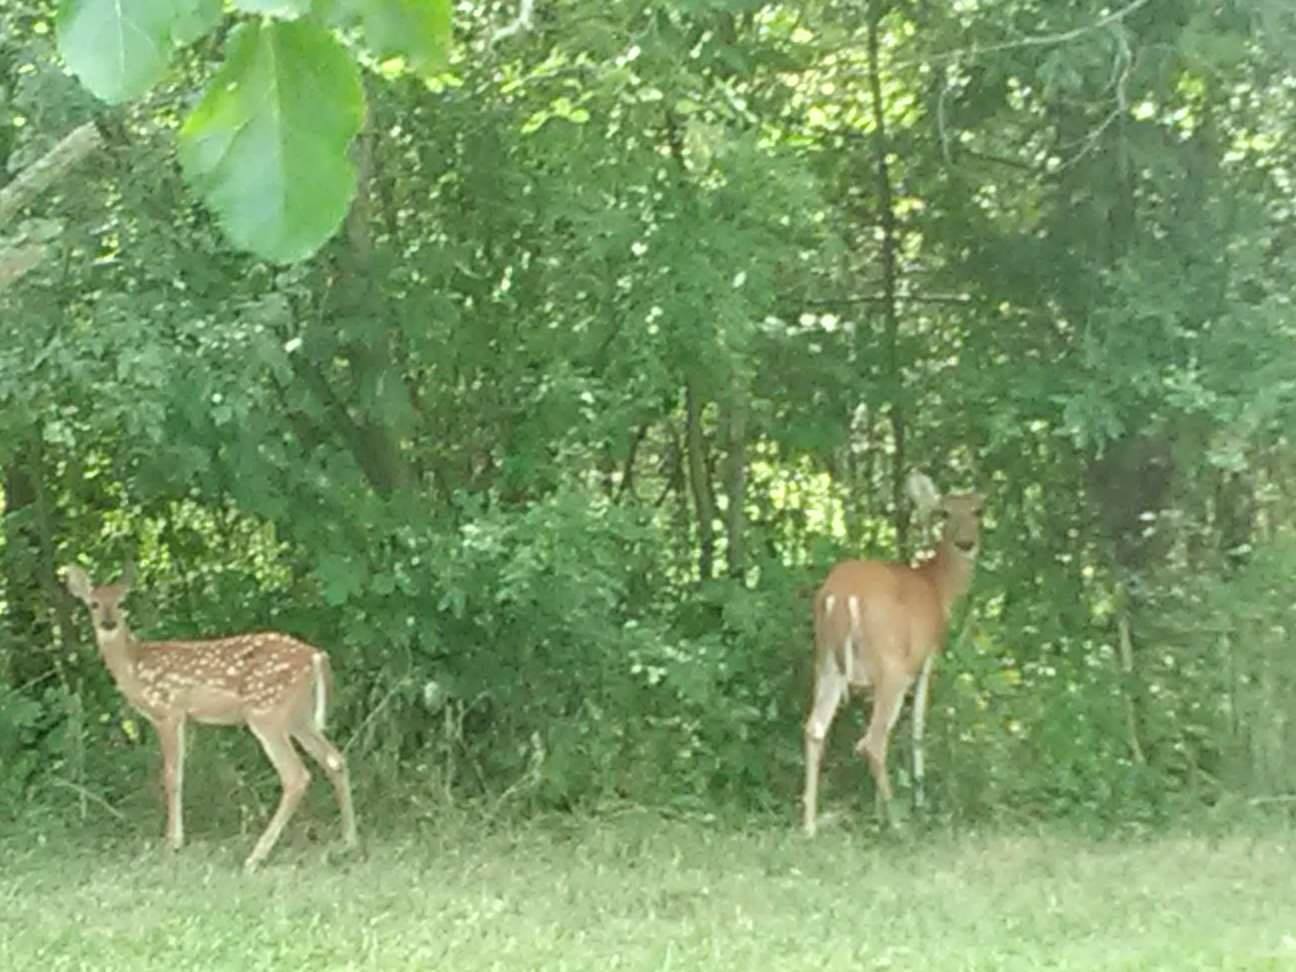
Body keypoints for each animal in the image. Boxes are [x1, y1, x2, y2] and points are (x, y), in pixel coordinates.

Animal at [64, 562, 358, 870]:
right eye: (94, 604)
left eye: (121, 603)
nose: (108, 623)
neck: (134, 666)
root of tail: (316, 656)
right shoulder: (184, 718)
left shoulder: (168, 710)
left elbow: (172, 776)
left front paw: (173, 842)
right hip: (299, 716)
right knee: (335, 760)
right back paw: (349, 842)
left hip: (266, 711)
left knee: (295, 774)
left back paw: (255, 856)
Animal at [803, 471, 983, 836]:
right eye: (944, 513)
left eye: (978, 511)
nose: (966, 543)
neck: (936, 587)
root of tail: (839, 597)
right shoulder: (924, 658)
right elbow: (916, 727)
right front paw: (918, 800)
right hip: (891, 665)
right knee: (871, 741)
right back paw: (898, 823)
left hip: (827, 661)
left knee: (815, 729)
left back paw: (810, 826)